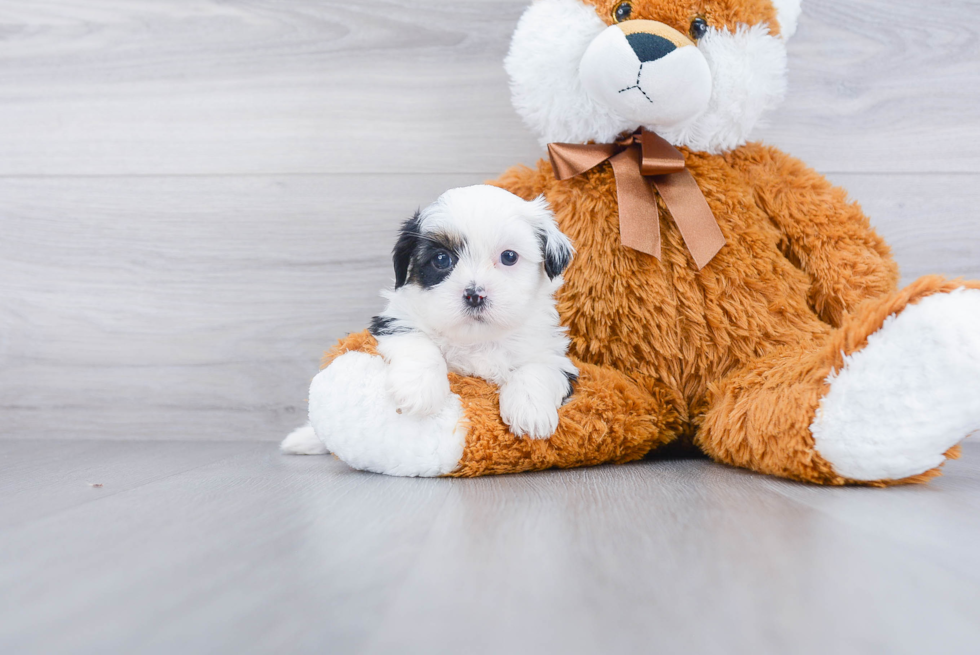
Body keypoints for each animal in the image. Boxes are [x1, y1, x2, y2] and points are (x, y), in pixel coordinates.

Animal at [372, 184, 580, 440]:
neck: (479, 338)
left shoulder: (555, 356)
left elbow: (537, 369)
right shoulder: (395, 318)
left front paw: (530, 410)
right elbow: (418, 342)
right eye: (441, 259)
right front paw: (418, 386)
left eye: (509, 256)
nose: (474, 295)